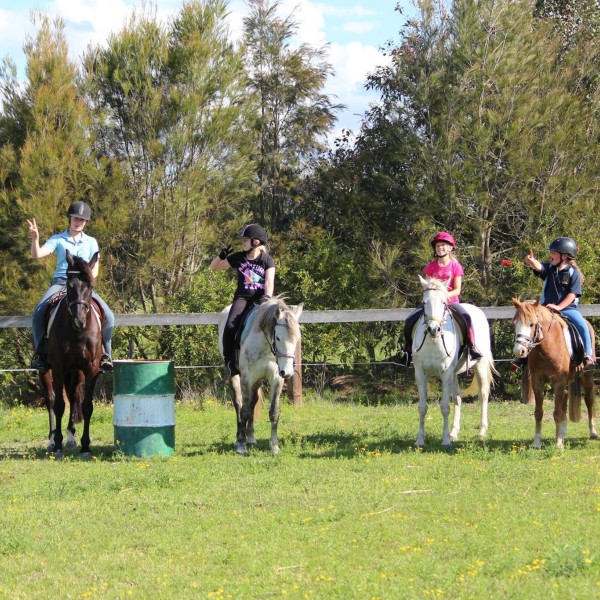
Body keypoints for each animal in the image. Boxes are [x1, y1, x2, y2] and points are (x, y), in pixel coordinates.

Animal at [39, 251, 103, 458]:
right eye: (69, 285)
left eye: (90, 286)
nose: (79, 320)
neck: (77, 332)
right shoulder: (58, 368)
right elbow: (59, 405)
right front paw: (58, 445)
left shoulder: (91, 369)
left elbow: (87, 406)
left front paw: (85, 447)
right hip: (46, 370)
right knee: (51, 399)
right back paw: (53, 440)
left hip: (76, 371)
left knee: (74, 397)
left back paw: (71, 438)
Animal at [218, 298, 302, 458]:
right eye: (278, 337)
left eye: (297, 339)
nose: (287, 372)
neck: (265, 347)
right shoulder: (246, 378)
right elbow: (244, 410)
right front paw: (241, 446)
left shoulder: (276, 379)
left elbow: (273, 412)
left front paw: (274, 447)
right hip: (235, 377)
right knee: (239, 403)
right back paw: (239, 438)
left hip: (257, 381)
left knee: (253, 401)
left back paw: (250, 437)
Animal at [410, 274, 494, 448]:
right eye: (424, 302)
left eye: (443, 302)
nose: (433, 329)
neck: (433, 341)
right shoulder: (421, 373)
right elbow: (422, 407)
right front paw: (420, 440)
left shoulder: (446, 373)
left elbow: (444, 407)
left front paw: (445, 441)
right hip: (455, 374)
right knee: (458, 398)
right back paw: (454, 432)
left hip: (480, 366)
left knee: (483, 395)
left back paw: (481, 432)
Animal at [510, 298, 596, 448]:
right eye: (515, 324)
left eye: (532, 324)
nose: (519, 351)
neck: (546, 347)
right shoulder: (537, 381)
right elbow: (539, 412)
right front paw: (537, 442)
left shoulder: (559, 381)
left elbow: (556, 413)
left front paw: (558, 443)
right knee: (565, 402)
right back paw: (563, 432)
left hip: (587, 377)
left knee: (589, 401)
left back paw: (593, 432)